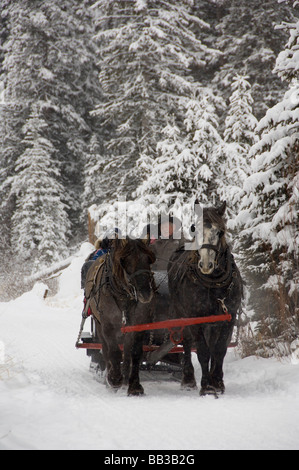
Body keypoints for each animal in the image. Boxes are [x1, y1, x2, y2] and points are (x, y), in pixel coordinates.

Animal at [87, 237, 156, 394]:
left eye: (148, 259)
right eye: (125, 261)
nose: (145, 294)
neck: (124, 296)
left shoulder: (138, 326)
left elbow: (134, 353)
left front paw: (134, 385)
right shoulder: (108, 326)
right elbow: (114, 351)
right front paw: (114, 379)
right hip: (99, 324)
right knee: (106, 350)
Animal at [169, 202, 244, 396]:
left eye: (220, 232)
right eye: (194, 228)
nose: (205, 265)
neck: (214, 285)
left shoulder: (228, 318)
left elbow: (219, 350)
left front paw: (217, 382)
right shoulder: (196, 319)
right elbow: (203, 352)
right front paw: (206, 386)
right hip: (183, 315)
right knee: (187, 344)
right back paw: (188, 378)